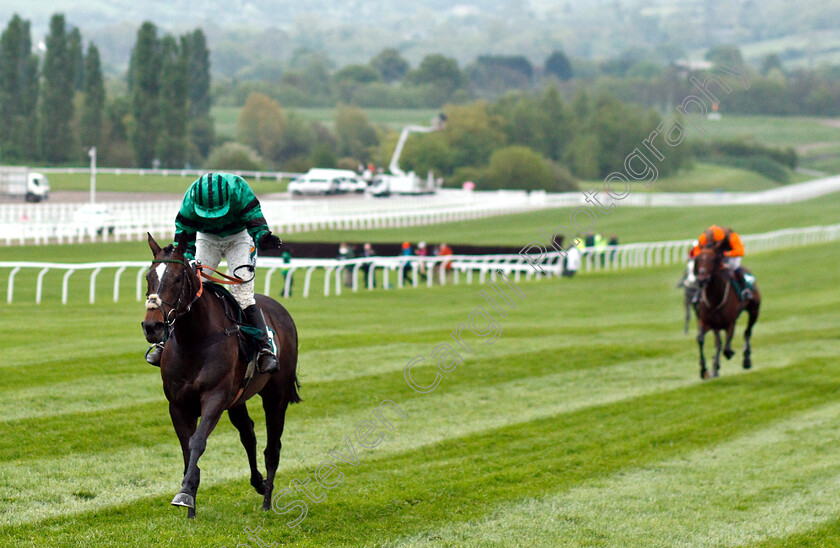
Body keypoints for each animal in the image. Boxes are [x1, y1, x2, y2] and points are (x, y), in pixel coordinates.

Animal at [142, 231, 302, 520]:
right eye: (149, 276)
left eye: (177, 278)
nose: (152, 326)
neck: (194, 340)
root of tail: (279, 309)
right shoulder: (178, 404)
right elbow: (187, 448)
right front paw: (190, 503)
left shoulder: (214, 397)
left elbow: (197, 441)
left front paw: (185, 494)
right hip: (237, 399)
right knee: (248, 433)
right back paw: (258, 482)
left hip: (276, 395)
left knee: (273, 447)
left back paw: (267, 502)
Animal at [692, 246, 756, 378]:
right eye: (698, 259)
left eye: (713, 259)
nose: (702, 278)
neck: (715, 298)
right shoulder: (708, 322)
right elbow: (701, 339)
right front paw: (704, 369)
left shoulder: (730, 322)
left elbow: (726, 347)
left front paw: (729, 354)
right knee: (719, 342)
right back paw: (715, 368)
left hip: (754, 310)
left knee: (747, 332)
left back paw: (746, 360)